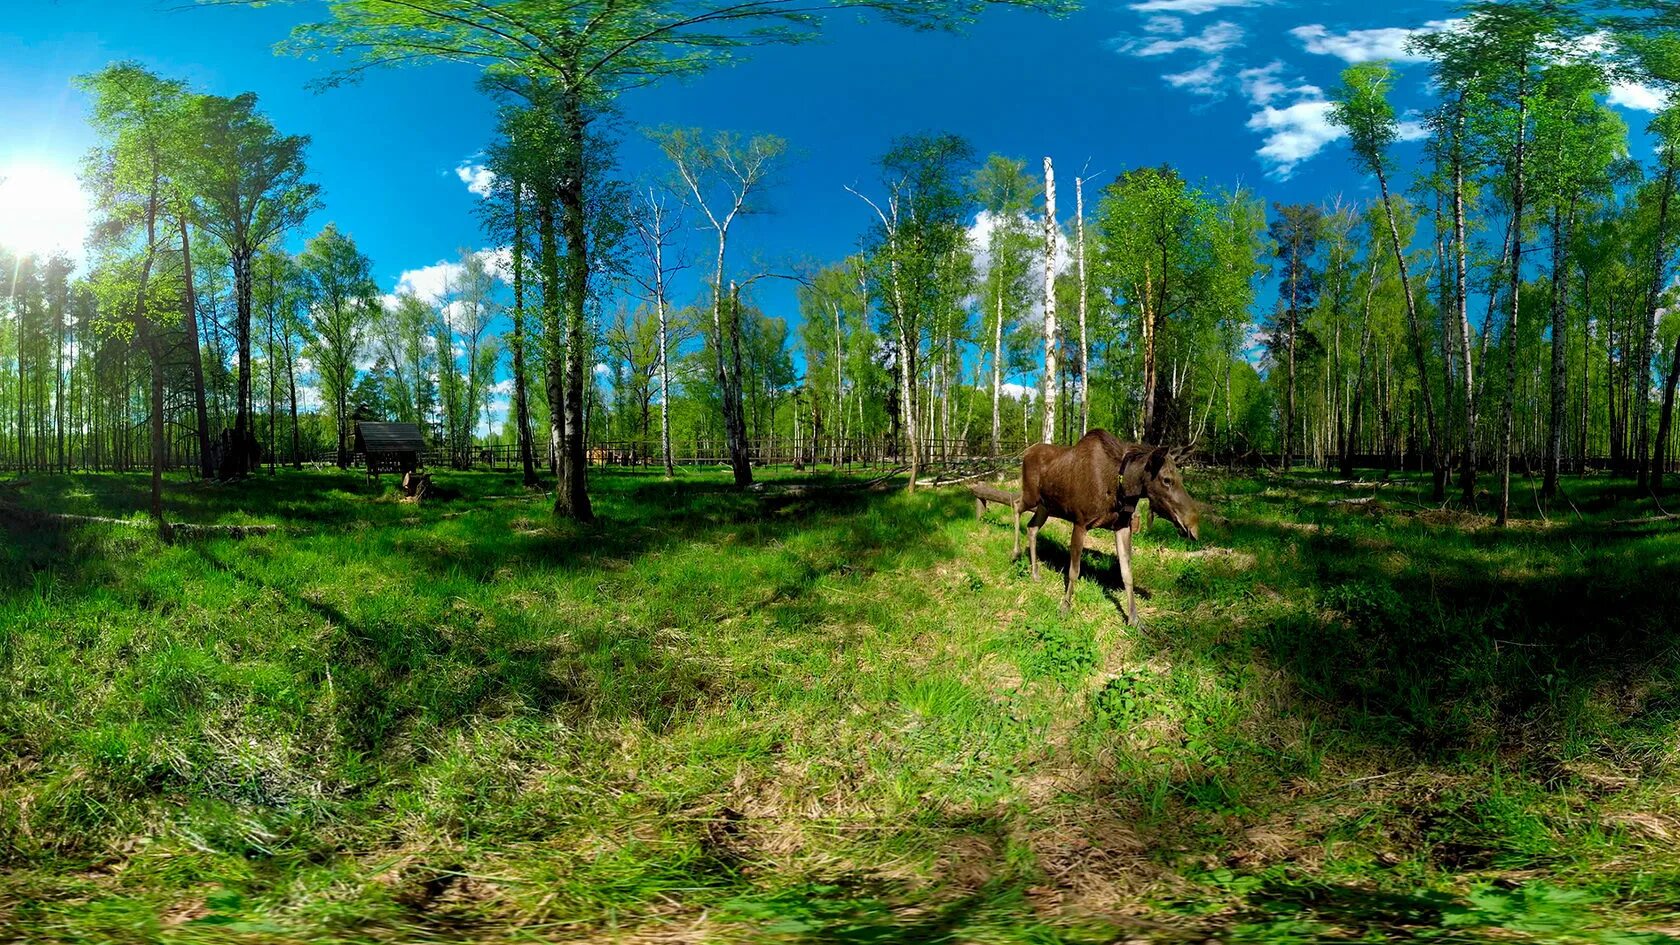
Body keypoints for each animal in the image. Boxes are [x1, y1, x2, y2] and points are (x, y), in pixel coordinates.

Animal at [981, 430, 1202, 622]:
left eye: (1180, 478)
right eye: (1167, 480)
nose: (1193, 526)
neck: (1120, 487)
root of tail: (1026, 452)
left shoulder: (1122, 527)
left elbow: (1127, 573)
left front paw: (1134, 618)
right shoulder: (1080, 523)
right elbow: (1074, 571)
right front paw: (1065, 607)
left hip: (1045, 505)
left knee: (1032, 527)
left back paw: (1035, 573)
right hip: (1031, 496)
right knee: (1016, 505)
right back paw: (1016, 553)